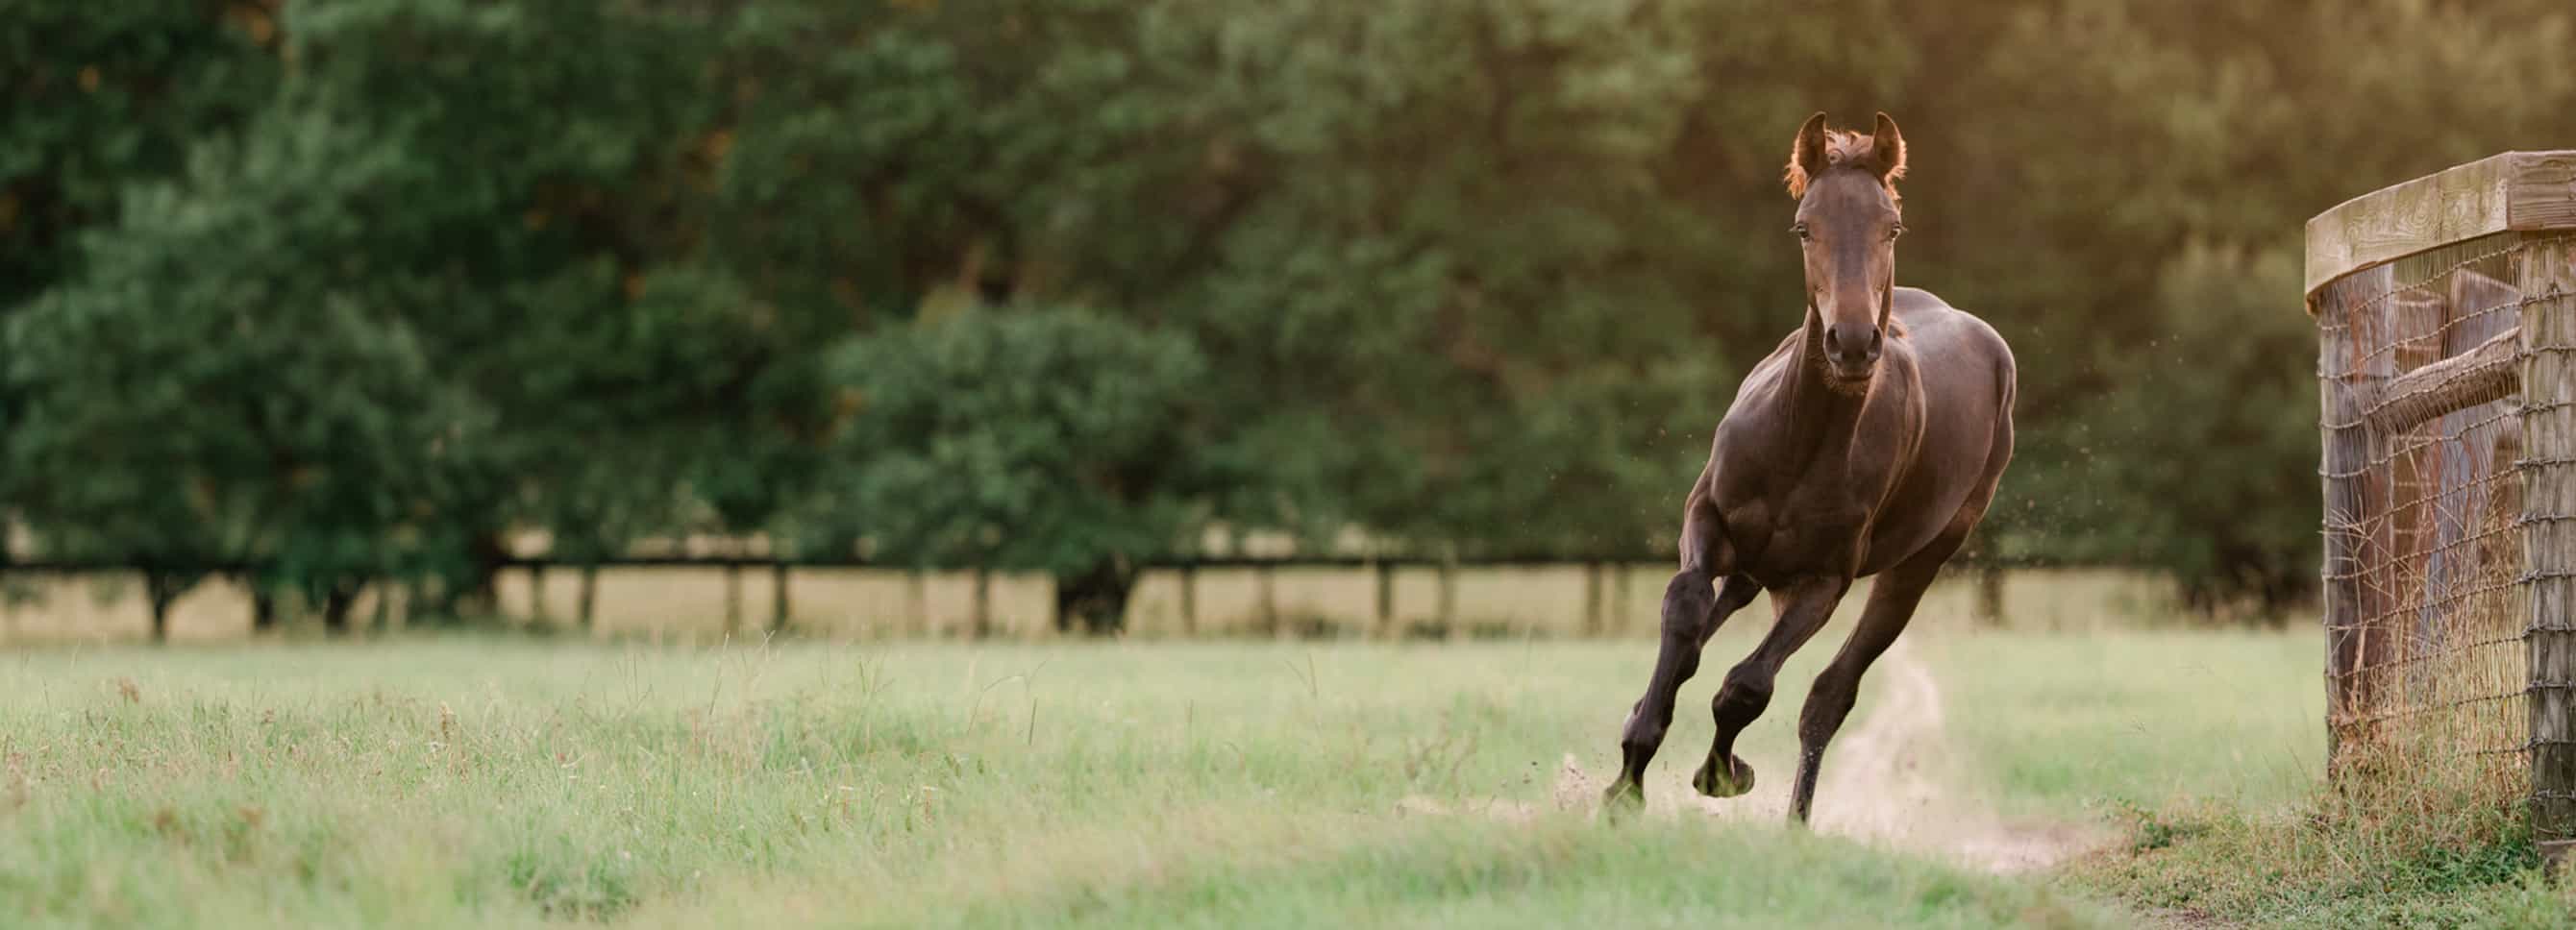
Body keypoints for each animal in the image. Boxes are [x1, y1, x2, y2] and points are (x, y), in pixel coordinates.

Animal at [1600, 112, 2016, 822]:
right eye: (1804, 226)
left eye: (1891, 227)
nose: (1850, 344)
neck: (1800, 445)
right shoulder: (1707, 517)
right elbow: (1684, 612)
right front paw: (1627, 779)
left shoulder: (1826, 578)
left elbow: (1747, 686)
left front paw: (1723, 773)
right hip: (1754, 562)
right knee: (1709, 630)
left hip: (1917, 564)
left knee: (1829, 694)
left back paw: (1794, 821)